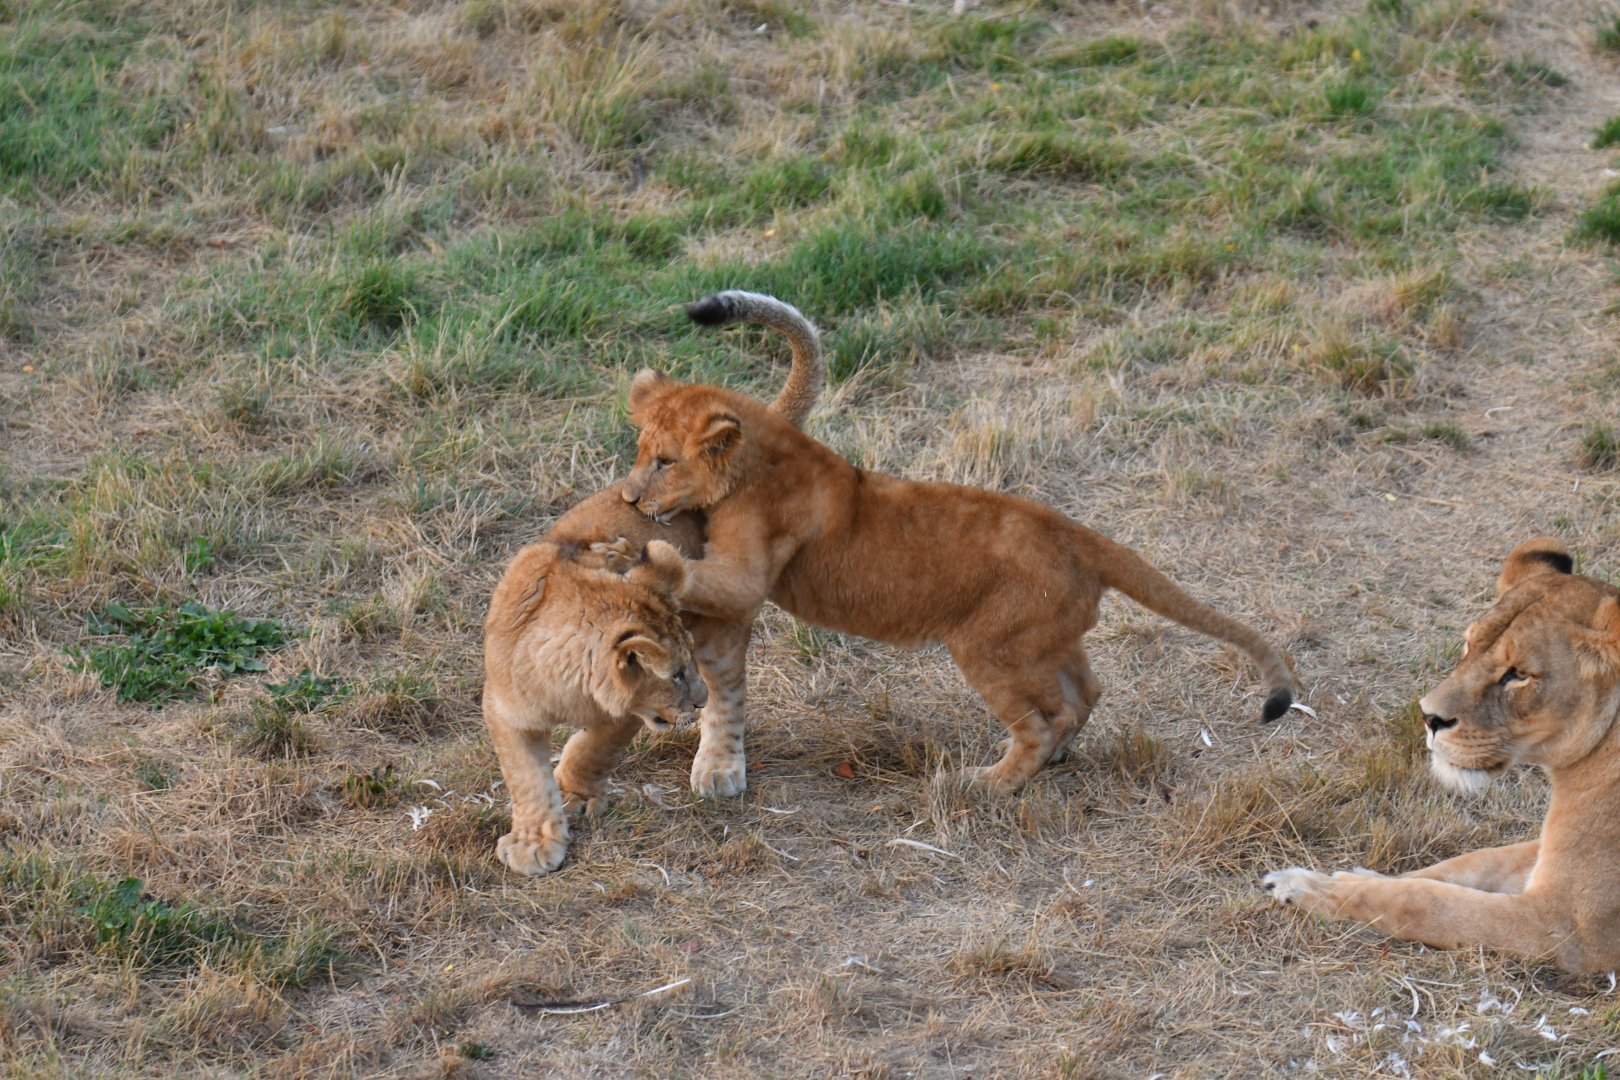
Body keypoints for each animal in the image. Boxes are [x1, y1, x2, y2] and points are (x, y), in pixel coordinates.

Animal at [617, 303, 1295, 795]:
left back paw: (987, 783)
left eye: (665, 461)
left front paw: (633, 558)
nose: (627, 497)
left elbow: (697, 573)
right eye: (639, 451)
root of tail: (1082, 536)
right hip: (1045, 639)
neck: (763, 451)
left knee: (1043, 721)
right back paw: (1045, 758)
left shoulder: (749, 571)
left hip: (988, 646)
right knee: (1084, 695)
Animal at [1263, 537, 1620, 973]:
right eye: (1469, 645)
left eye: (1519, 674)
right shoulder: (1543, 853)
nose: (1428, 717)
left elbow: (1427, 902)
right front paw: (1351, 876)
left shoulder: (1566, 925)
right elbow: (1466, 864)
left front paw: (1308, 888)